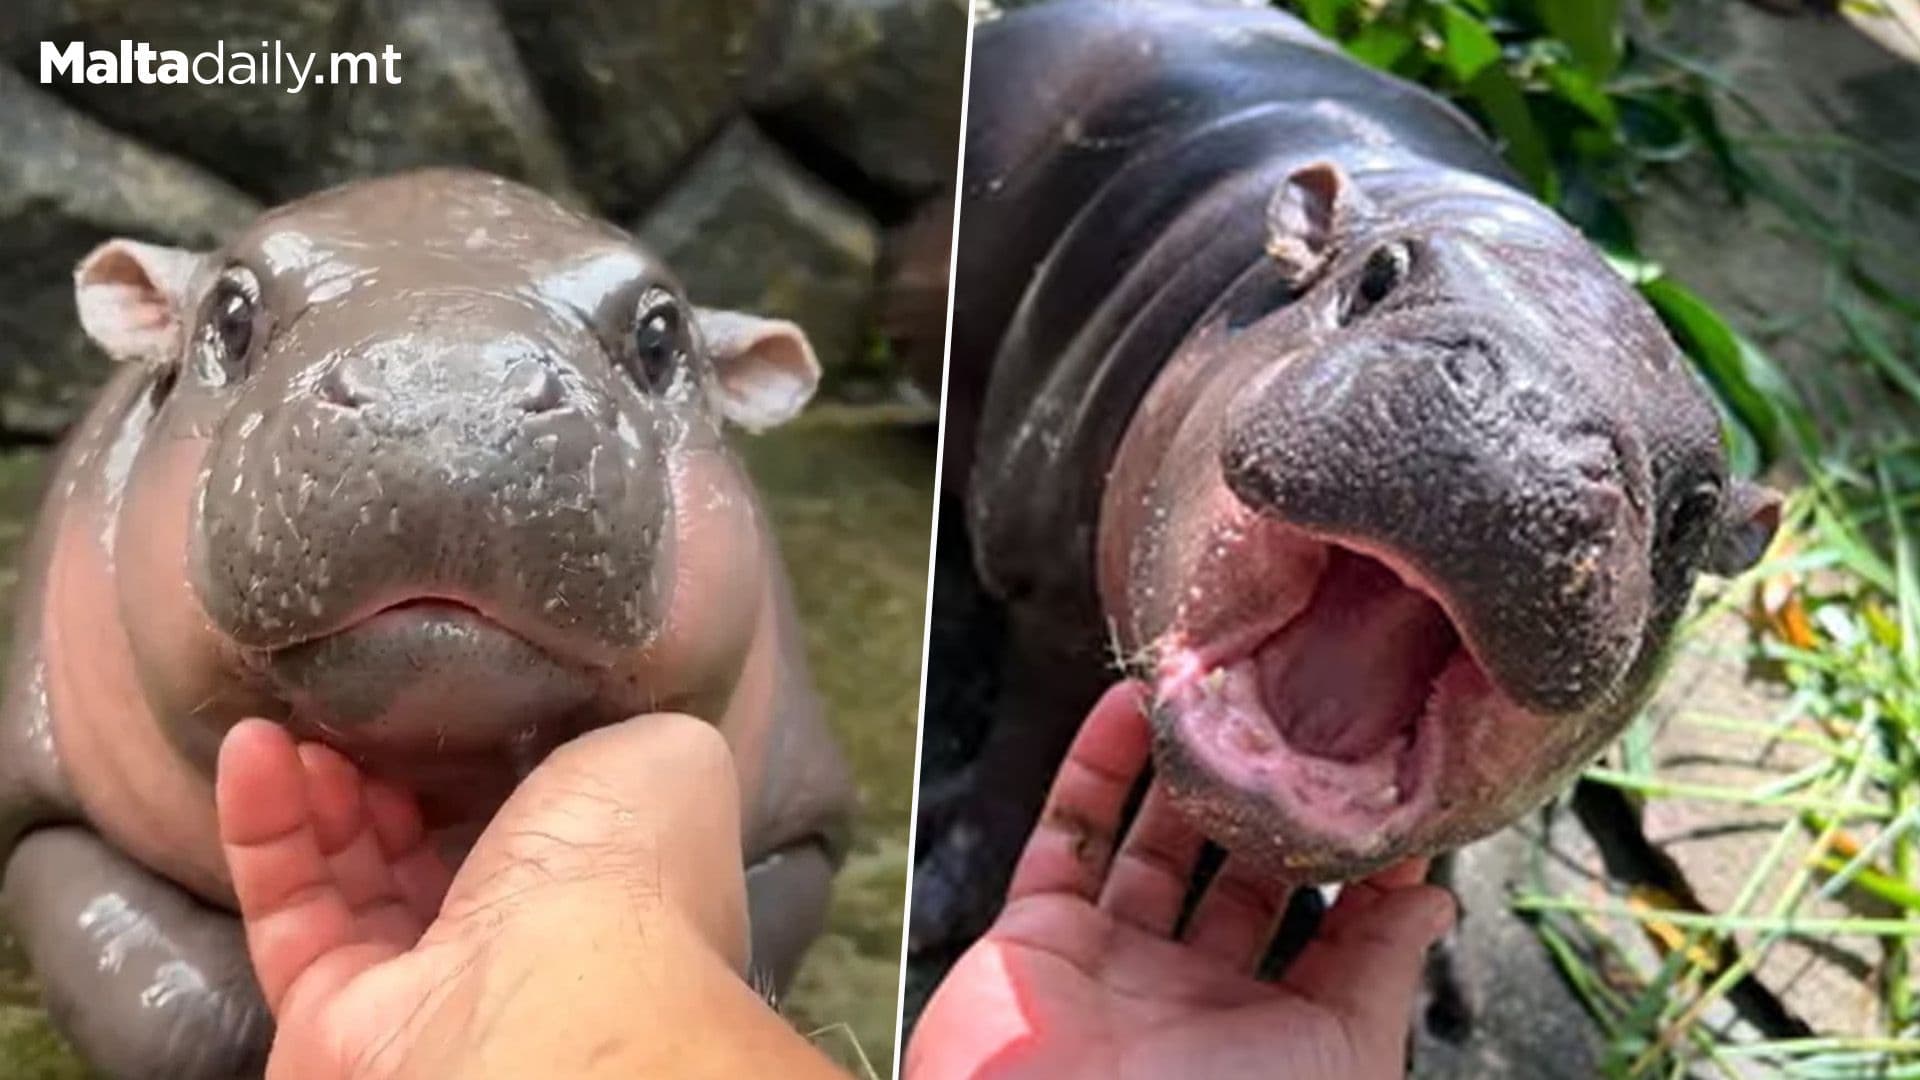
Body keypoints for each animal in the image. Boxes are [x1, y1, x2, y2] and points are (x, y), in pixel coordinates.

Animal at [0, 169, 854, 1078]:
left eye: (661, 337)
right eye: (229, 316)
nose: (448, 395)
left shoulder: (804, 832)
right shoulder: (40, 806)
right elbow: (174, 1016)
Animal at [912, 0, 1780, 949]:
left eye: (1697, 507)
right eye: (1379, 275)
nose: (1526, 415)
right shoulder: (1050, 594)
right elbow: (1026, 743)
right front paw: (936, 901)